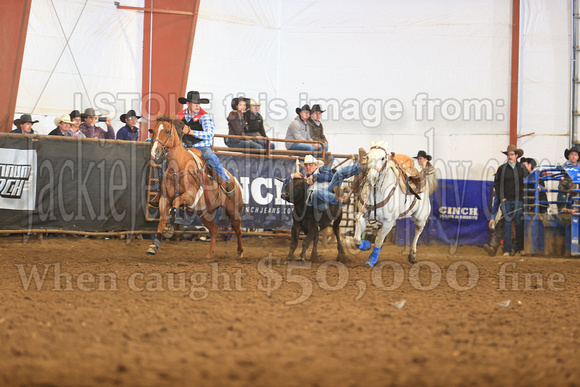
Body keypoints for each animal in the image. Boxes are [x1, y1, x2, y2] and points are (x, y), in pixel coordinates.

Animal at [147, 116, 245, 260]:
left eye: (167, 131)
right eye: (153, 131)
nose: (155, 152)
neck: (178, 167)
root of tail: (234, 181)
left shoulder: (190, 197)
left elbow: (175, 203)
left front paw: (170, 227)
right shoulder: (164, 199)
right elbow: (161, 221)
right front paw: (154, 246)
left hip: (233, 210)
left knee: (238, 230)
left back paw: (240, 251)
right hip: (205, 213)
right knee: (214, 230)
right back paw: (209, 255)